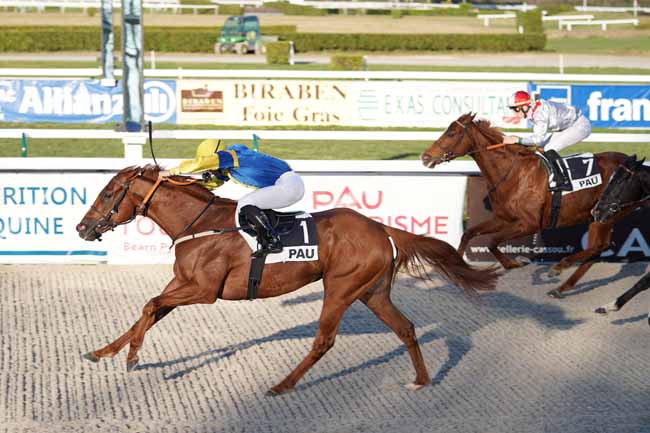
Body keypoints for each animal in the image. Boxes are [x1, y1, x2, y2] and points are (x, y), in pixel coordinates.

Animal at [76, 165, 500, 395]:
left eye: (109, 193)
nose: (82, 228)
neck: (199, 224)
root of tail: (381, 228)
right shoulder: (181, 286)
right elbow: (147, 311)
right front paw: (104, 351)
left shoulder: (204, 290)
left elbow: (149, 305)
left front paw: (132, 358)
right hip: (373, 292)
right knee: (406, 328)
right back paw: (421, 380)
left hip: (341, 288)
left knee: (324, 341)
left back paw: (282, 385)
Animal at [420, 113, 631, 298]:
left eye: (451, 133)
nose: (425, 156)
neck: (513, 173)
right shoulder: (503, 218)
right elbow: (470, 234)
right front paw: (456, 270)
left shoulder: (530, 224)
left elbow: (492, 241)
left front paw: (513, 264)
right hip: (597, 216)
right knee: (596, 250)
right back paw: (561, 288)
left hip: (608, 215)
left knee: (599, 247)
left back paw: (559, 269)